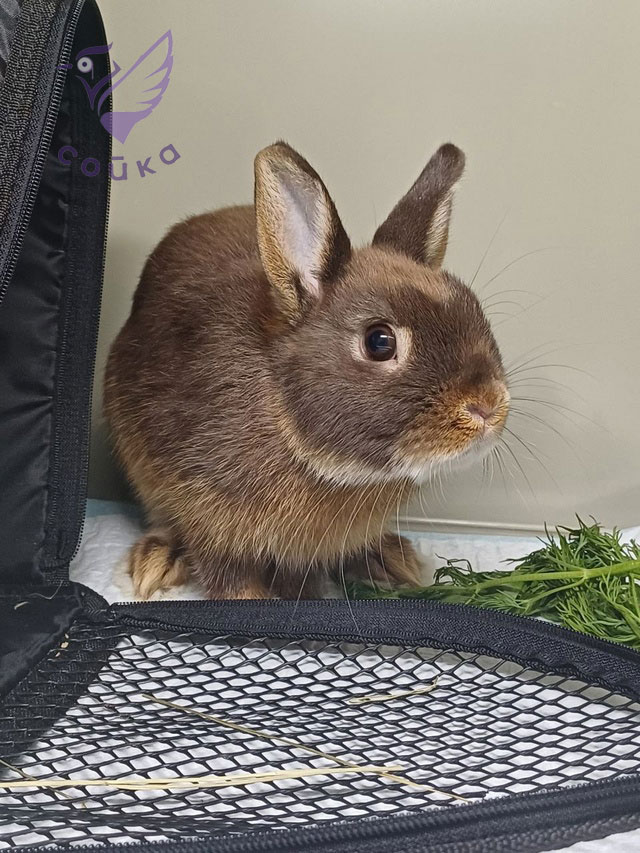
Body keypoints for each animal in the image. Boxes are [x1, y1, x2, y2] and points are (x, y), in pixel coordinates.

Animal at [104, 141, 509, 600]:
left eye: (474, 310)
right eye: (379, 341)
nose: (488, 405)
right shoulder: (207, 513)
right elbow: (228, 576)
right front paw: (255, 603)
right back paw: (156, 560)